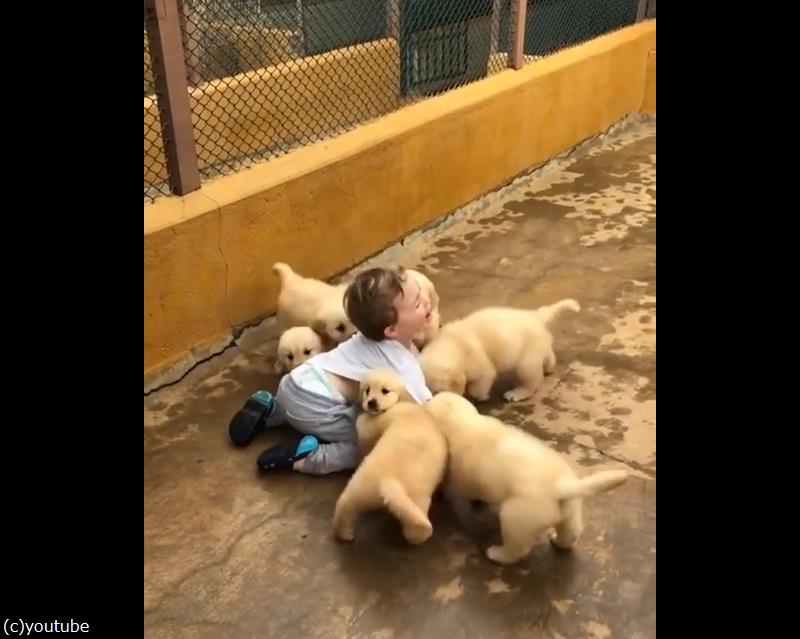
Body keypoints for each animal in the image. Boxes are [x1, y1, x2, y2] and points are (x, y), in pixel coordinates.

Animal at [332, 369, 448, 544]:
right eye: (367, 390)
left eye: (385, 390)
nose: (371, 402)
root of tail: (389, 482)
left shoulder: (370, 429)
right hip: (414, 499)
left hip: (360, 488)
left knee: (344, 507)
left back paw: (344, 534)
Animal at [419, 299, 580, 402]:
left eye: (438, 391)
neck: (454, 344)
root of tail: (536, 316)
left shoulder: (479, 365)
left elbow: (482, 380)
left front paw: (479, 396)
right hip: (537, 346)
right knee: (548, 354)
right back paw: (549, 368)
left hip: (526, 361)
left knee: (531, 380)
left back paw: (516, 393)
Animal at [425, 392, 628, 564]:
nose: (427, 399)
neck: (462, 421)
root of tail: (561, 486)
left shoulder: (461, 473)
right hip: (570, 510)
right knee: (571, 532)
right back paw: (558, 541)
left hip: (515, 517)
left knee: (518, 549)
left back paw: (497, 554)